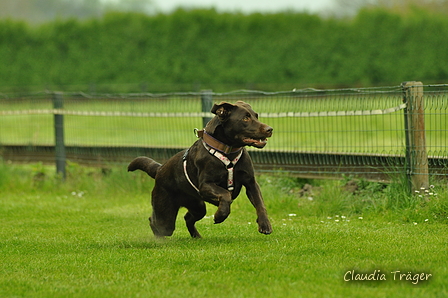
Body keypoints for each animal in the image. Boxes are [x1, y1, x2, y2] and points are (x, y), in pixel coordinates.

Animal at [127, 101, 272, 239]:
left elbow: (260, 204)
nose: (270, 129)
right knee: (155, 222)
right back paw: (159, 239)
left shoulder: (250, 183)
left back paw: (196, 236)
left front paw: (265, 224)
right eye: (245, 118)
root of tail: (160, 169)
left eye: (256, 116)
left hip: (198, 206)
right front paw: (220, 215)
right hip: (166, 213)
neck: (228, 151)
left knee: (187, 218)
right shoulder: (206, 185)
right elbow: (226, 194)